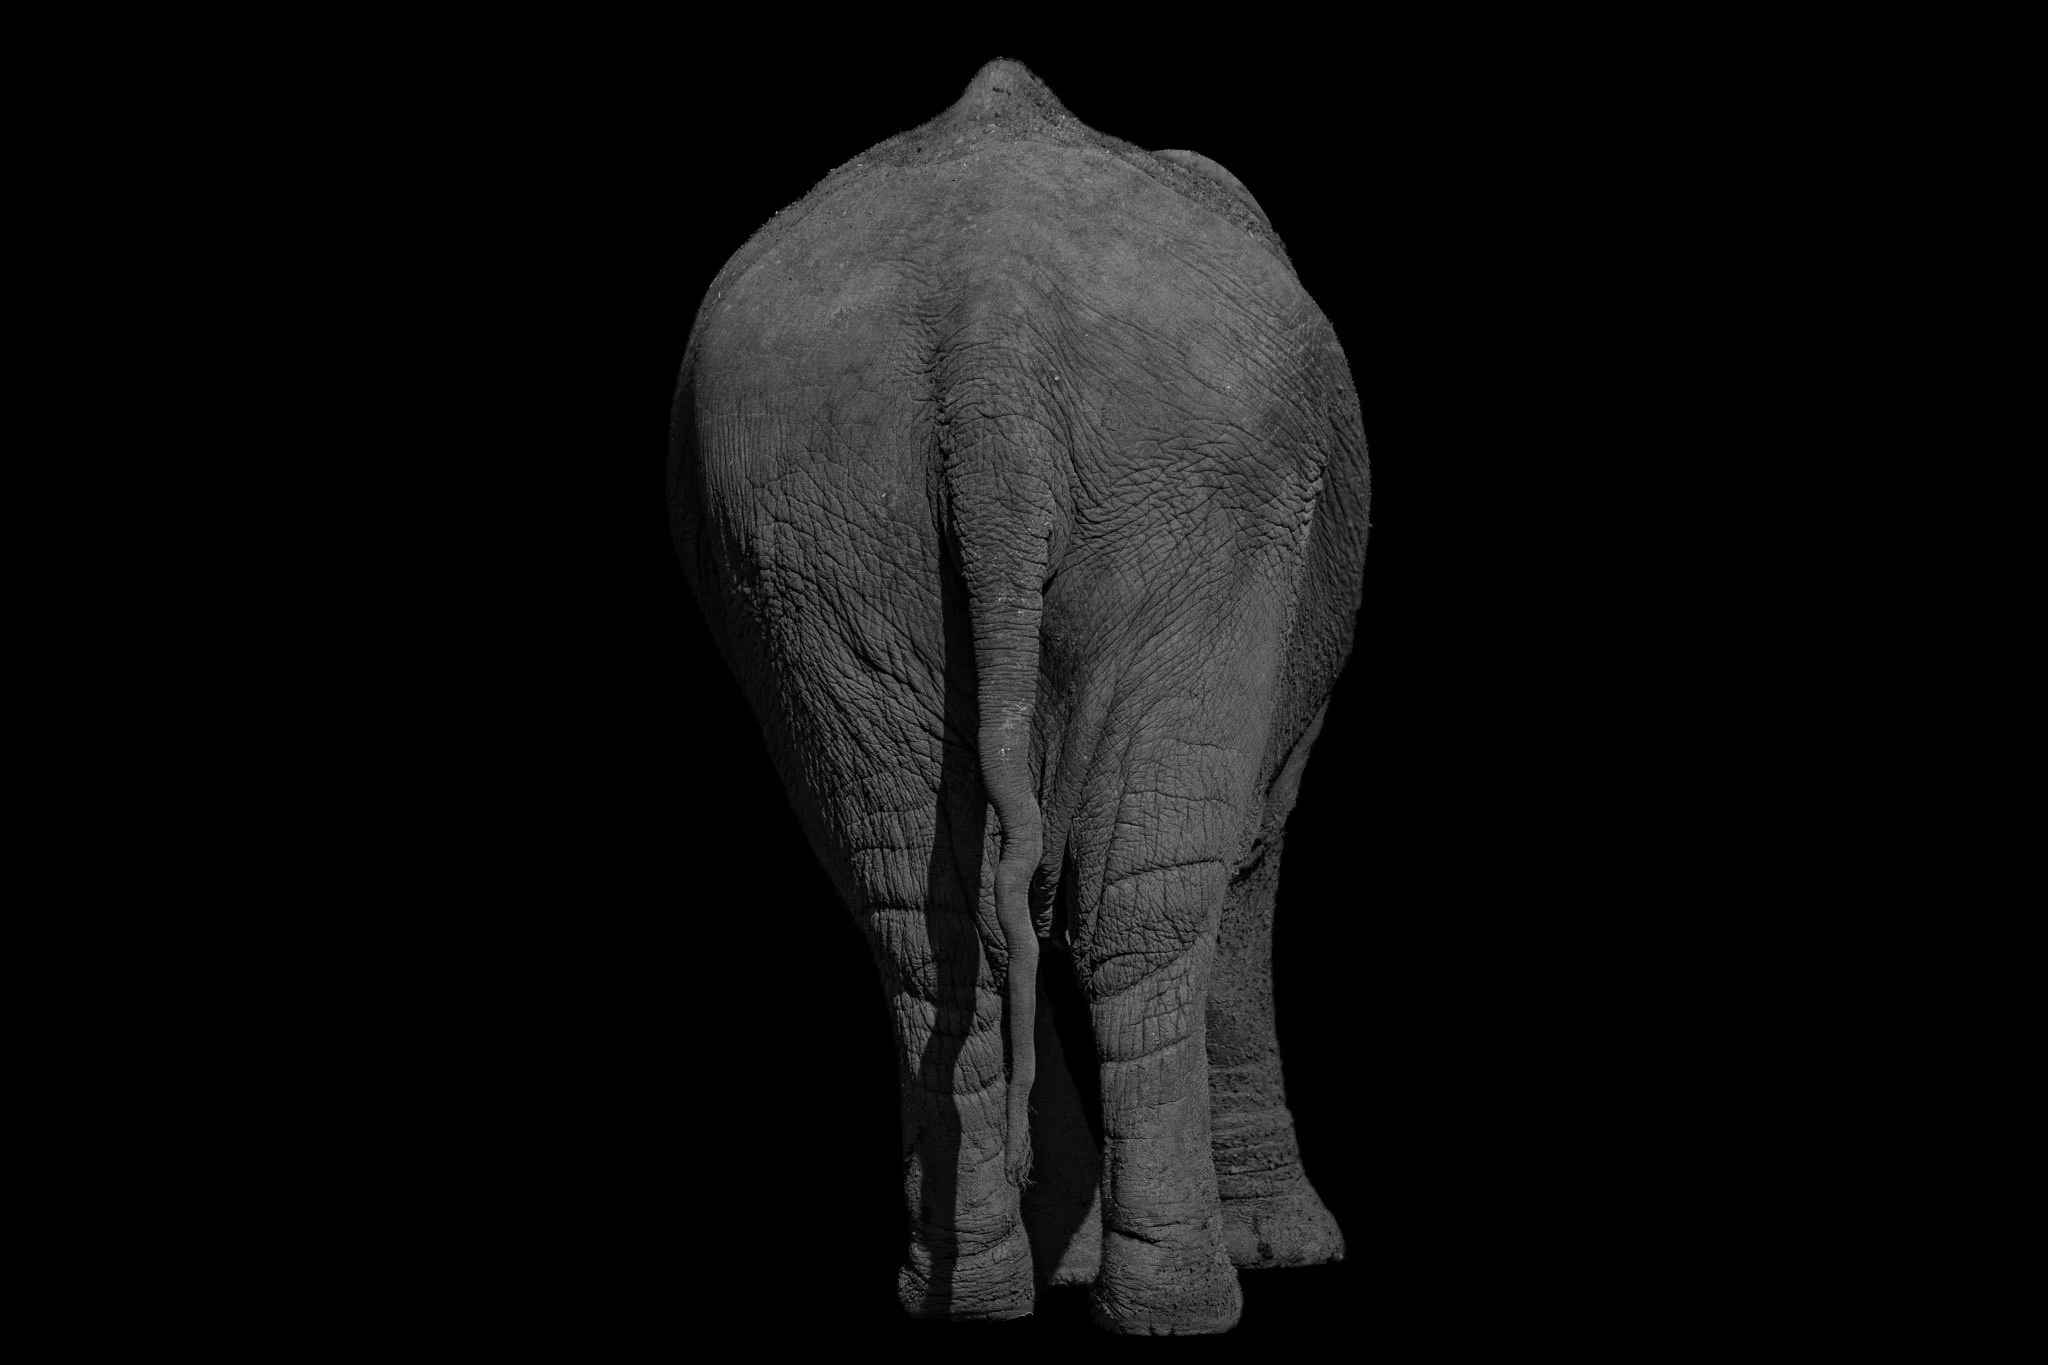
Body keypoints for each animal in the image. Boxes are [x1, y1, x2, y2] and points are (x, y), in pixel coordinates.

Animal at [668, 59, 1369, 1334]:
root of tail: (986, 346)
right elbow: (1250, 848)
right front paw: (1279, 1253)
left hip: (815, 516)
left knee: (922, 908)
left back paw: (970, 1294)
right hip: (1189, 503)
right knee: (1147, 889)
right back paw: (1179, 1304)